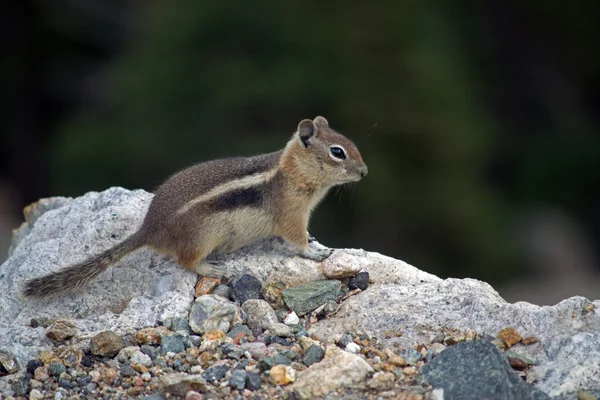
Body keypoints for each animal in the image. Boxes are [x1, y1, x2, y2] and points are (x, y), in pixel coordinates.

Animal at [22, 115, 366, 296]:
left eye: (351, 144)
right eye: (337, 152)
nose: (364, 172)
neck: (293, 171)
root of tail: (149, 229)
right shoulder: (291, 214)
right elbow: (297, 239)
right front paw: (316, 252)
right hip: (202, 236)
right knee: (185, 261)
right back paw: (213, 268)